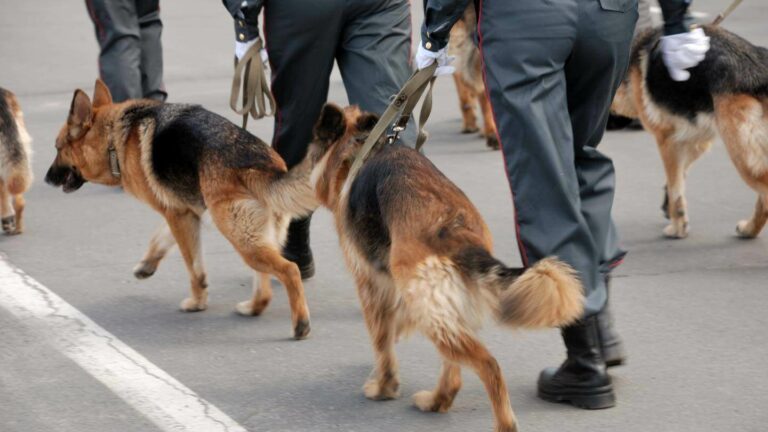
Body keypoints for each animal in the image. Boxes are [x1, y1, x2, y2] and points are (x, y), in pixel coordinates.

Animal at [45, 80, 318, 338]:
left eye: (58, 148)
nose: (46, 179)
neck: (114, 138)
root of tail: (265, 165)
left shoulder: (177, 215)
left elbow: (193, 266)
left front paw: (197, 302)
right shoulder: (182, 212)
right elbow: (160, 239)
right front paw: (147, 265)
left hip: (241, 237)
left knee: (289, 270)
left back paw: (300, 324)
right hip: (255, 238)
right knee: (264, 285)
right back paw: (253, 307)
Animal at [304, 104, 584, 432]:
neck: (361, 146)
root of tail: (455, 229)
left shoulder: (370, 284)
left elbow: (381, 341)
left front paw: (384, 386)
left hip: (429, 309)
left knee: (487, 365)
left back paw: (500, 421)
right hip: (445, 310)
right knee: (454, 371)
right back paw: (437, 401)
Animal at [612, 26, 768, 240]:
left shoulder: (667, 141)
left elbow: (675, 187)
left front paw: (677, 226)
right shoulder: (696, 140)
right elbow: (679, 178)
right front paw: (671, 208)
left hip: (743, 158)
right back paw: (749, 230)